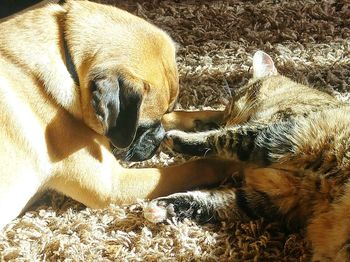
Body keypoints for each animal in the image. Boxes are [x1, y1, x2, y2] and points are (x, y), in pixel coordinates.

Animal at [0, 0, 232, 229]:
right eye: (140, 128)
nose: (158, 139)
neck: (65, 55)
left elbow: (177, 117)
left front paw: (214, 117)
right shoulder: (113, 184)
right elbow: (194, 167)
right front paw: (228, 161)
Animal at [144, 50, 350, 260]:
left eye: (232, 105)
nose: (225, 121)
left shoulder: (274, 132)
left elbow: (222, 138)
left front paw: (175, 137)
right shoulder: (273, 197)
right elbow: (212, 201)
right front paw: (162, 208)